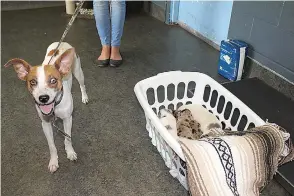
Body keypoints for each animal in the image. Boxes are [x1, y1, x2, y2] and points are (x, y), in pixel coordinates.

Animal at [4, 41, 88, 173]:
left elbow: (68, 139)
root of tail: (62, 42)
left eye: (53, 80)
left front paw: (70, 152)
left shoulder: (68, 119)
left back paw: (84, 97)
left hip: (78, 72)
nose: (43, 98)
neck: (54, 108)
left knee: (82, 85)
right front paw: (53, 161)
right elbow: (51, 145)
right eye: (33, 82)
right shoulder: (45, 124)